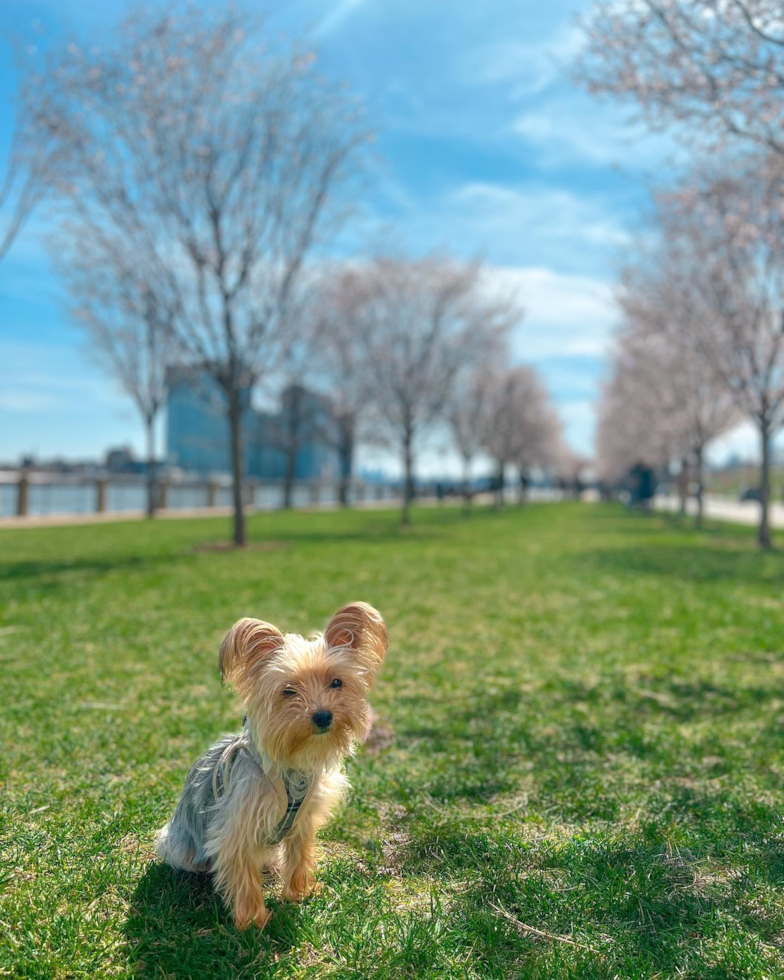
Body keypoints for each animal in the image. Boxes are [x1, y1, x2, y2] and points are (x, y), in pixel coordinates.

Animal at [155, 600, 388, 932]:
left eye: (337, 682)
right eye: (288, 691)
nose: (323, 716)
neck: (293, 764)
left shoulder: (304, 819)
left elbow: (300, 854)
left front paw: (300, 892)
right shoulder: (236, 825)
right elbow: (244, 876)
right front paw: (253, 920)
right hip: (176, 843)